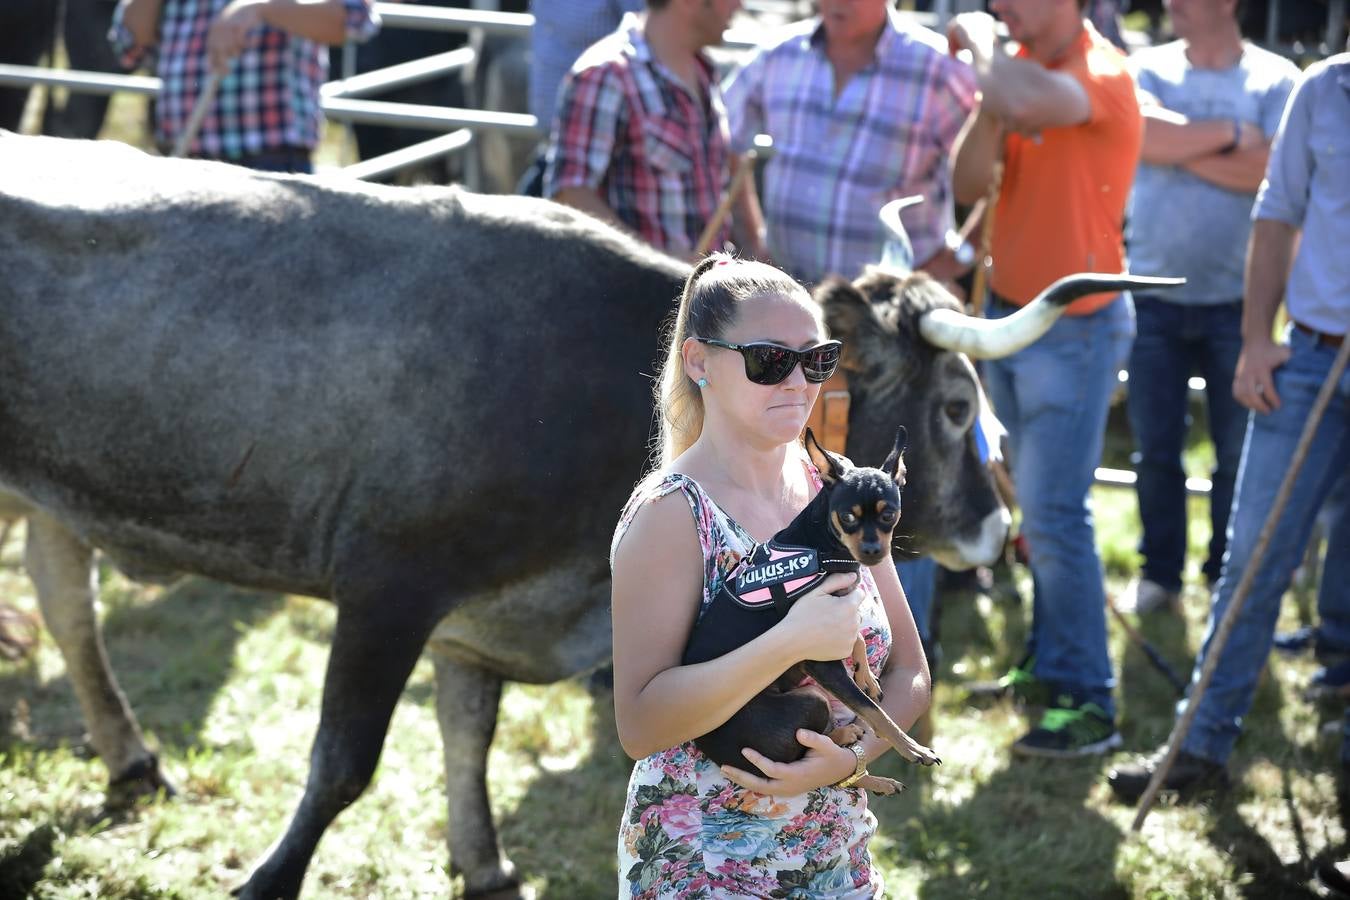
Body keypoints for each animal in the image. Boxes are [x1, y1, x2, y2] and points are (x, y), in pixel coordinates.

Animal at [685, 429, 939, 793]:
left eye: (889, 514)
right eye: (847, 517)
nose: (872, 550)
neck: (820, 544)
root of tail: (718, 756)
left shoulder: (834, 612)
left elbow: (855, 640)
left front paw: (865, 674)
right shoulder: (821, 661)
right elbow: (875, 712)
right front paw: (912, 747)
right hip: (813, 698)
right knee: (806, 754)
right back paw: (846, 736)